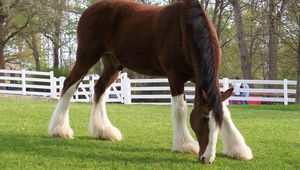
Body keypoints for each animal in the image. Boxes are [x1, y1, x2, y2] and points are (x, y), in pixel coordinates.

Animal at [48, 0, 252, 165]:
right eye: (202, 119)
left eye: (217, 124)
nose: (207, 159)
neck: (185, 29)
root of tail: (89, 10)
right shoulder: (175, 76)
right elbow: (180, 109)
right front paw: (184, 145)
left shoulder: (198, 78)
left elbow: (224, 110)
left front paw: (238, 149)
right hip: (87, 55)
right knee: (68, 86)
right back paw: (60, 130)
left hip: (113, 63)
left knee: (99, 90)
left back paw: (104, 131)